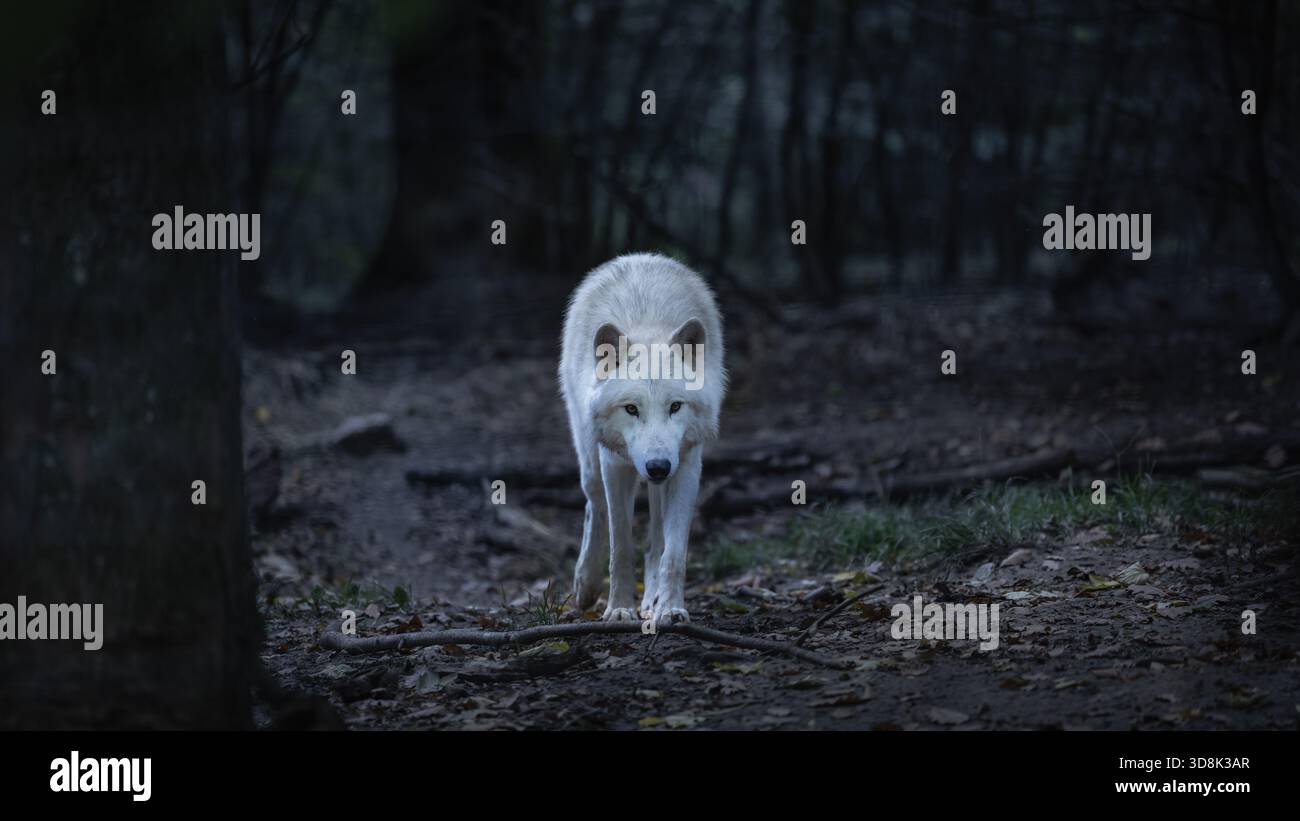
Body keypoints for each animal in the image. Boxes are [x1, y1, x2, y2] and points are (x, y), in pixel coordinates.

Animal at [559, 253, 726, 625]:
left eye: (675, 406)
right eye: (631, 409)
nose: (658, 466)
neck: (649, 329)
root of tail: (639, 256)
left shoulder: (687, 464)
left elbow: (673, 553)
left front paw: (671, 607)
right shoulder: (614, 466)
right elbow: (621, 547)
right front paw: (619, 608)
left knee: (655, 540)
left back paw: (652, 599)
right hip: (590, 459)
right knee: (595, 506)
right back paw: (585, 584)